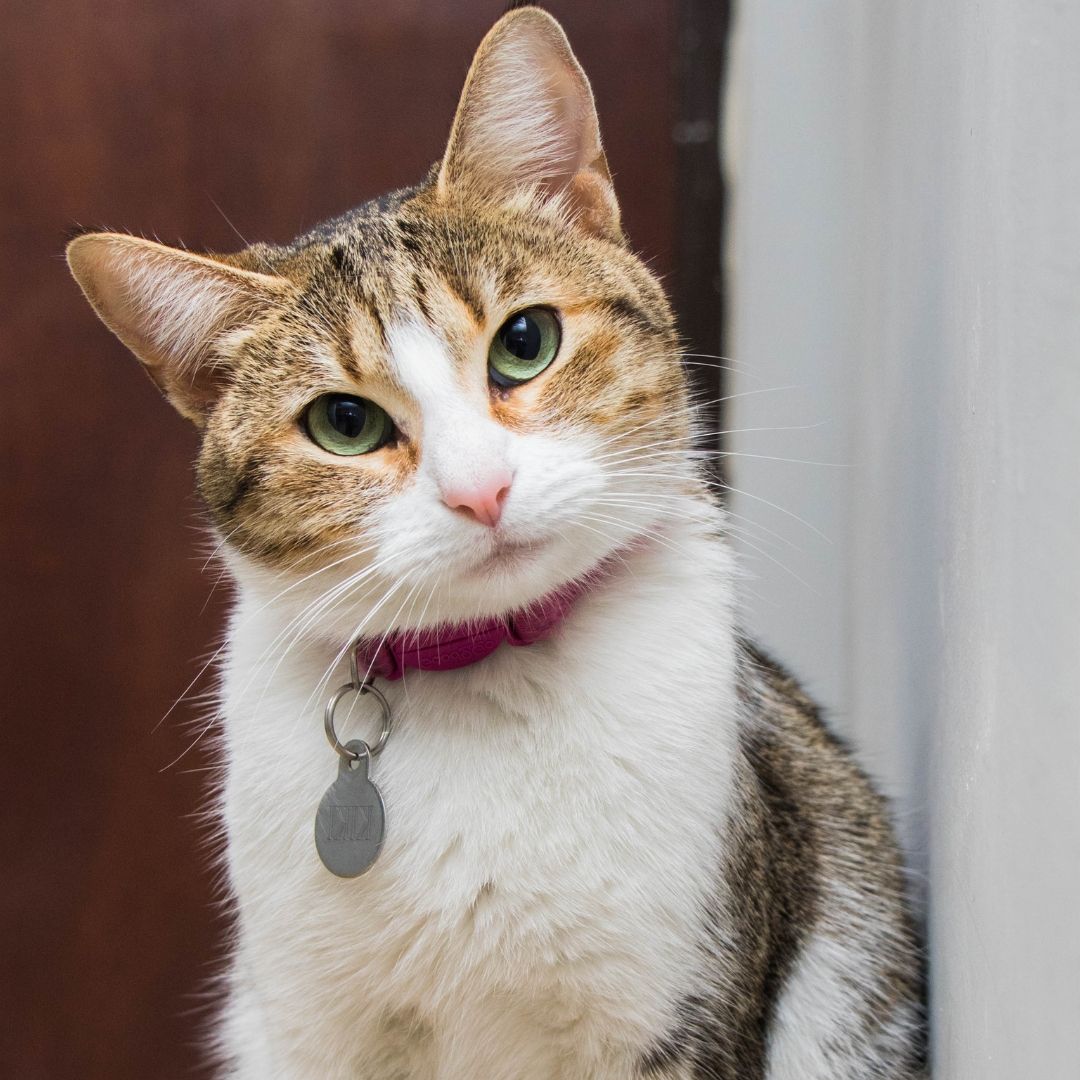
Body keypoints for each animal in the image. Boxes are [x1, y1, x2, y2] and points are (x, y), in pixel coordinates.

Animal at [69, 8, 928, 1080]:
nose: (481, 491)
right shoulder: (310, 1023)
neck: (481, 677)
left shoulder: (681, 1004)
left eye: (526, 342)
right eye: (343, 423)